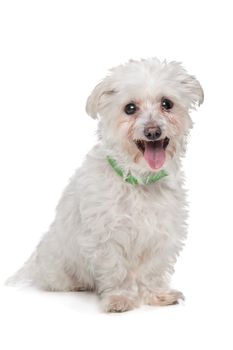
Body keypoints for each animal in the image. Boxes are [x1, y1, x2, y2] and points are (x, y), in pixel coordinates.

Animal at [7, 57, 204, 312]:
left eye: (167, 104)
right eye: (130, 108)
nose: (153, 131)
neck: (138, 181)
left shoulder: (161, 234)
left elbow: (152, 271)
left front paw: (157, 295)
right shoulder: (106, 238)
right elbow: (116, 271)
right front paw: (120, 298)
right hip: (58, 267)